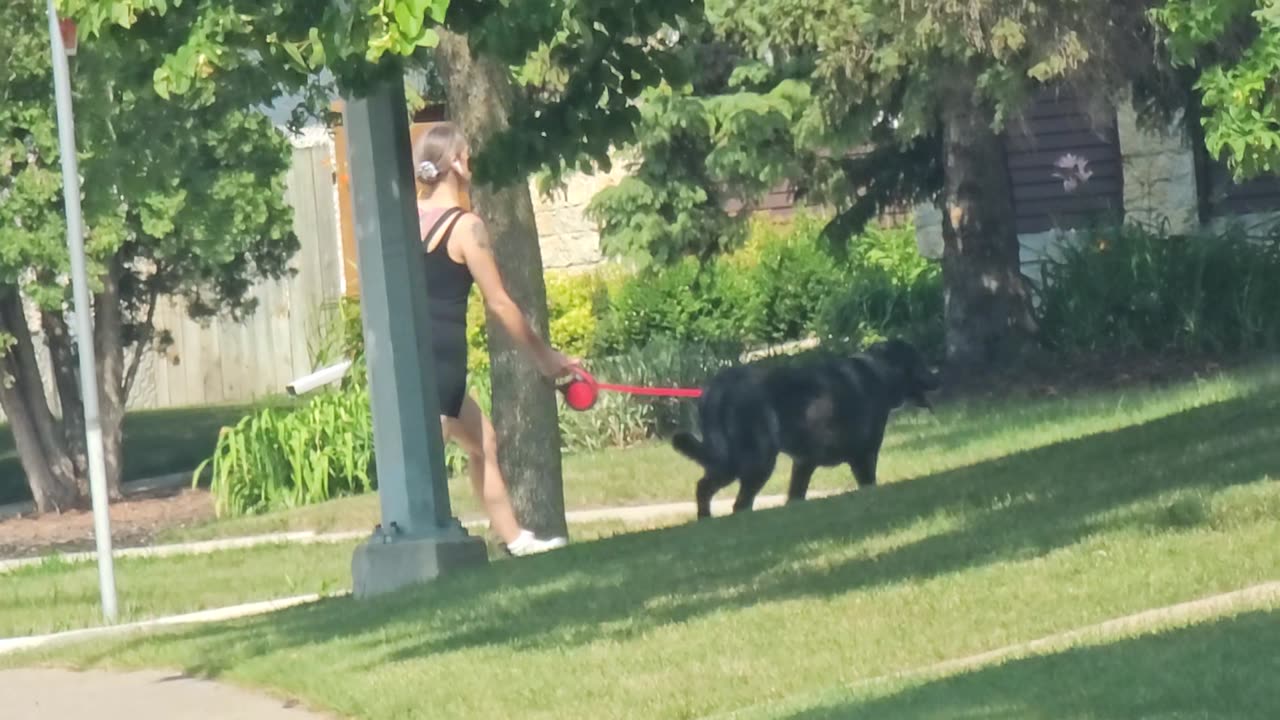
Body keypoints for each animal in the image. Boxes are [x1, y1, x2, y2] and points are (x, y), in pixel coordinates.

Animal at [675, 338, 936, 515]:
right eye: (919, 361)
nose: (938, 377)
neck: (880, 372)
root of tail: (715, 389)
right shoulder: (863, 457)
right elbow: (868, 484)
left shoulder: (804, 464)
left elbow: (795, 496)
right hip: (756, 461)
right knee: (739, 503)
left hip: (729, 461)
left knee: (704, 487)